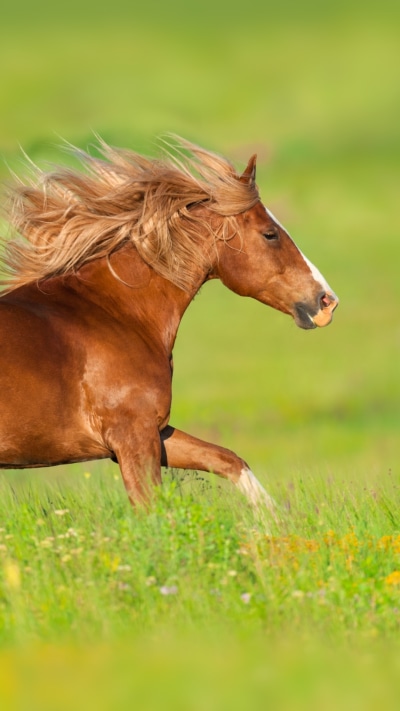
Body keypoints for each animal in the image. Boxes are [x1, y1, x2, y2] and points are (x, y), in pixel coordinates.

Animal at [0, 138, 338, 515]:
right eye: (270, 234)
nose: (326, 301)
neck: (113, 312)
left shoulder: (155, 433)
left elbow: (229, 460)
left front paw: (274, 521)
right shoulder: (133, 436)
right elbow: (151, 510)